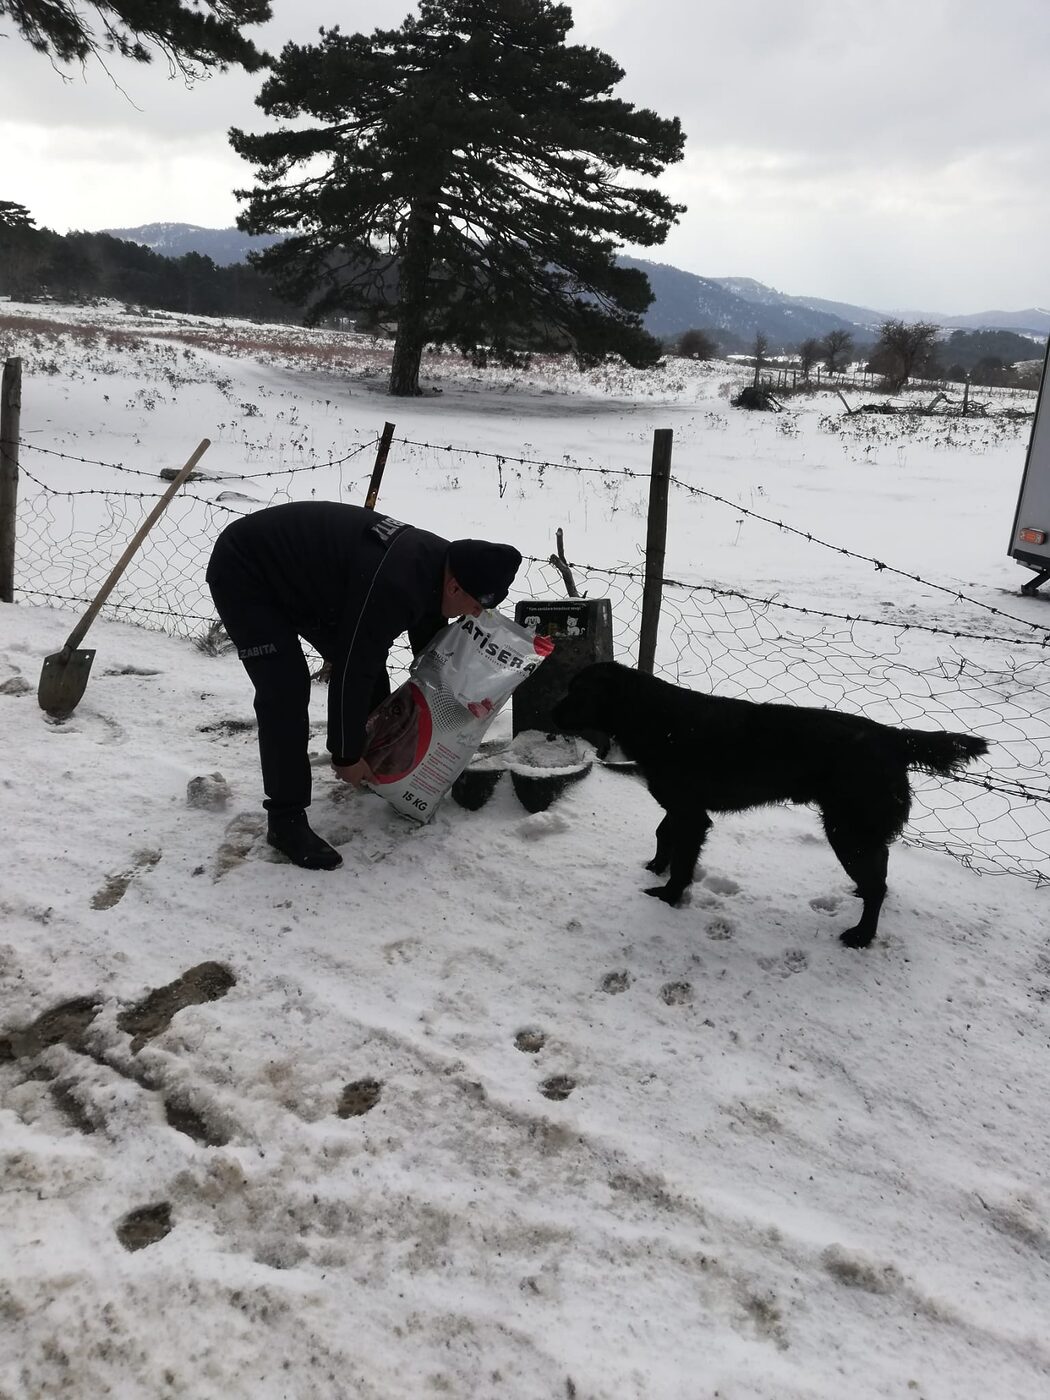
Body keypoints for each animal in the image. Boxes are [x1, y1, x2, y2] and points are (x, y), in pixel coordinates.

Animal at [554, 660, 991, 946]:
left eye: (578, 691)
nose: (550, 710)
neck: (655, 718)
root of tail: (891, 736)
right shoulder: (680, 806)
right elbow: (664, 833)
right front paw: (656, 866)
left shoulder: (692, 814)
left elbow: (682, 860)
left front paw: (669, 895)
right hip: (855, 829)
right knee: (878, 872)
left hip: (845, 829)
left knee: (877, 883)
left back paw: (861, 935)